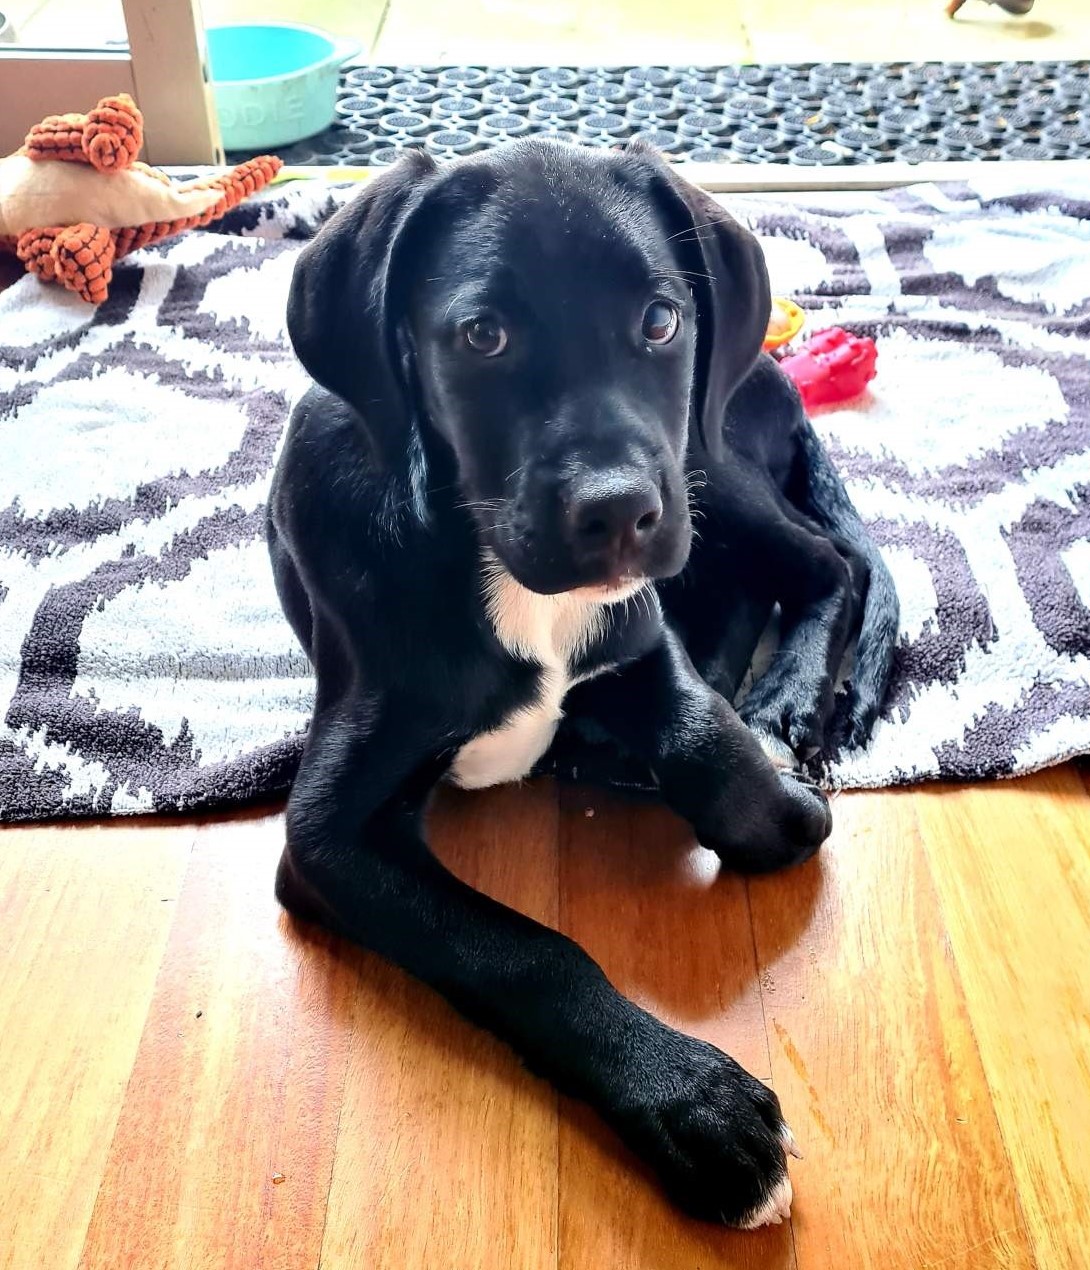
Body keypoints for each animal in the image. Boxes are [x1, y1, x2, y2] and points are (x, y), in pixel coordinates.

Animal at [267, 138, 898, 1228]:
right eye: (481, 336)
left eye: (660, 320)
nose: (617, 515)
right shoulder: (326, 837)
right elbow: (522, 949)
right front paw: (699, 1106)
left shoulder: (638, 631)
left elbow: (706, 741)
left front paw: (773, 786)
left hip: (704, 463)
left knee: (827, 563)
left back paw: (783, 699)